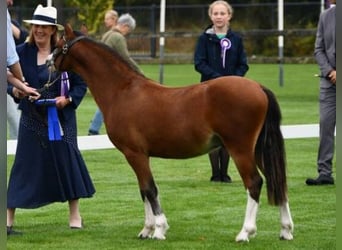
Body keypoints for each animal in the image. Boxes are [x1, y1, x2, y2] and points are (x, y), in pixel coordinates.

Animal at [48, 24, 294, 241]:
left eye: (59, 45)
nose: (48, 63)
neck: (122, 91)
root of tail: (258, 87)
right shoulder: (139, 156)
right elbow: (143, 190)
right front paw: (146, 230)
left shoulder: (135, 154)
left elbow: (150, 189)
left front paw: (158, 229)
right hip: (259, 149)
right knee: (277, 180)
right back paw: (285, 230)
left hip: (240, 149)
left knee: (254, 183)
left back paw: (245, 233)